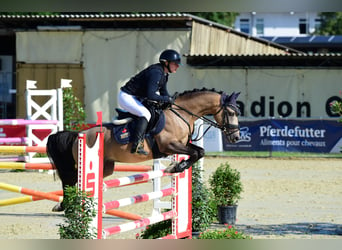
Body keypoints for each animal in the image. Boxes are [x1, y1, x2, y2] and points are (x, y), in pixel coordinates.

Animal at [46, 88, 242, 211]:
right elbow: (195, 153)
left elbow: (199, 152)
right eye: (231, 113)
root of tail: (79, 134)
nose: (236, 137)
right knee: (72, 180)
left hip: (107, 167)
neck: (181, 115)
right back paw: (65, 205)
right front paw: (175, 168)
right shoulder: (169, 145)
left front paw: (176, 167)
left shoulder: (180, 145)